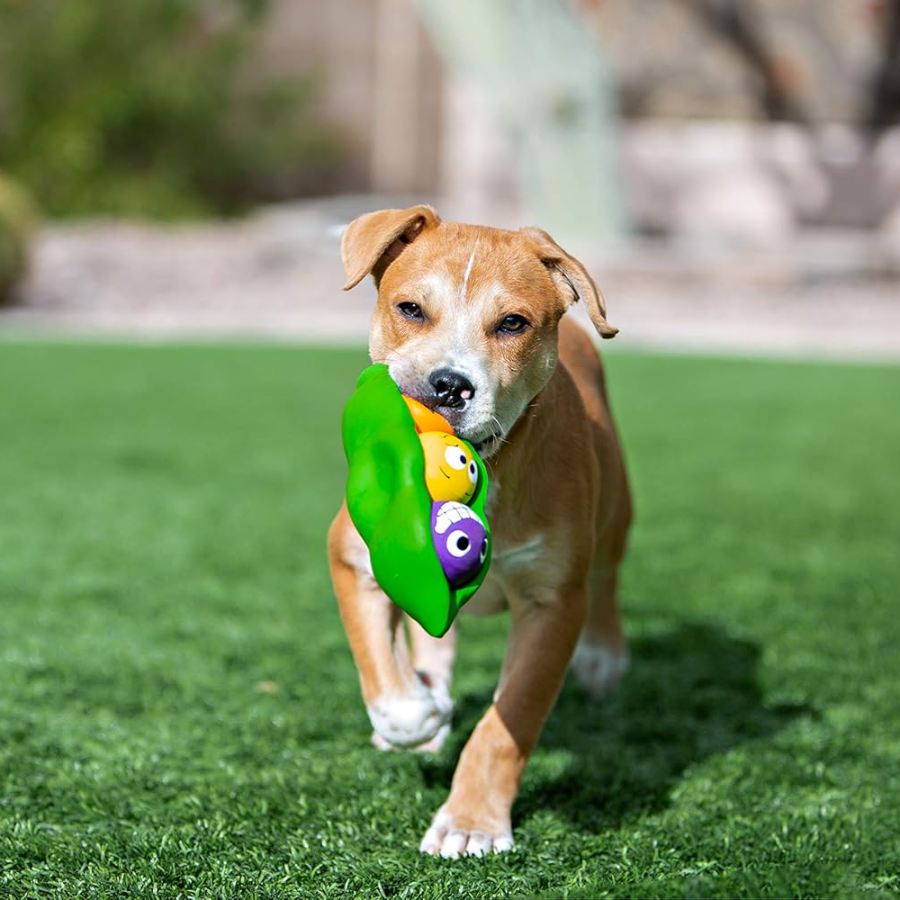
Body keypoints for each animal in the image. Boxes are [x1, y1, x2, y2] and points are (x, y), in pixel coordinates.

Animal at [326, 204, 628, 856]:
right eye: (411, 309)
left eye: (513, 323)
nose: (448, 385)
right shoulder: (353, 558)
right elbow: (379, 671)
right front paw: (416, 714)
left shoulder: (552, 600)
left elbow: (507, 722)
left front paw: (471, 823)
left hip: (618, 505)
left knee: (608, 573)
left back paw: (603, 658)